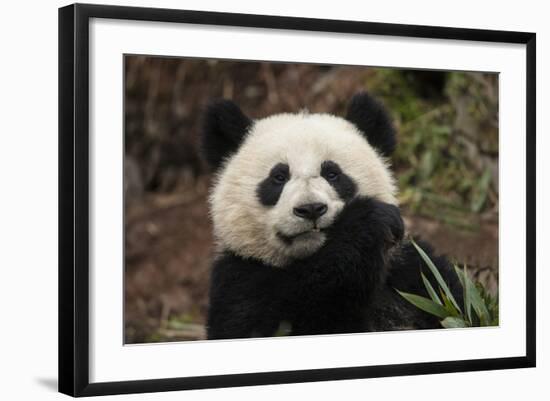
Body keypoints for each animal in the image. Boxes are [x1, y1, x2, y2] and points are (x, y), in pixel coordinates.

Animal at [201, 93, 464, 338]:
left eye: (332, 174)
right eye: (278, 177)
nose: (310, 209)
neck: (313, 257)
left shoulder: (411, 270)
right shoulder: (239, 278)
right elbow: (271, 320)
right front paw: (367, 222)